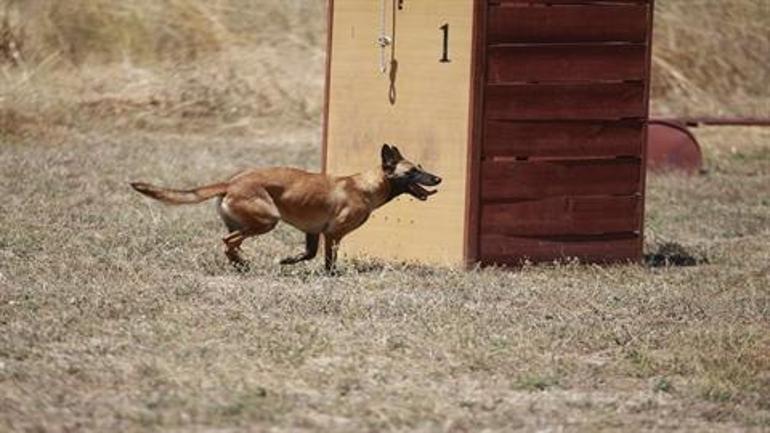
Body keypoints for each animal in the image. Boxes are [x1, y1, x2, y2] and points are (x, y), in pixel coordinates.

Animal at [131, 143, 440, 270]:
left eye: (420, 167)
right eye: (413, 171)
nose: (438, 178)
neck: (366, 185)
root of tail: (232, 182)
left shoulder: (314, 233)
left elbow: (307, 254)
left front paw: (287, 261)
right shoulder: (333, 234)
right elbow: (328, 262)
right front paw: (331, 276)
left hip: (247, 222)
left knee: (231, 242)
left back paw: (240, 263)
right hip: (267, 221)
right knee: (228, 241)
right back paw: (242, 263)